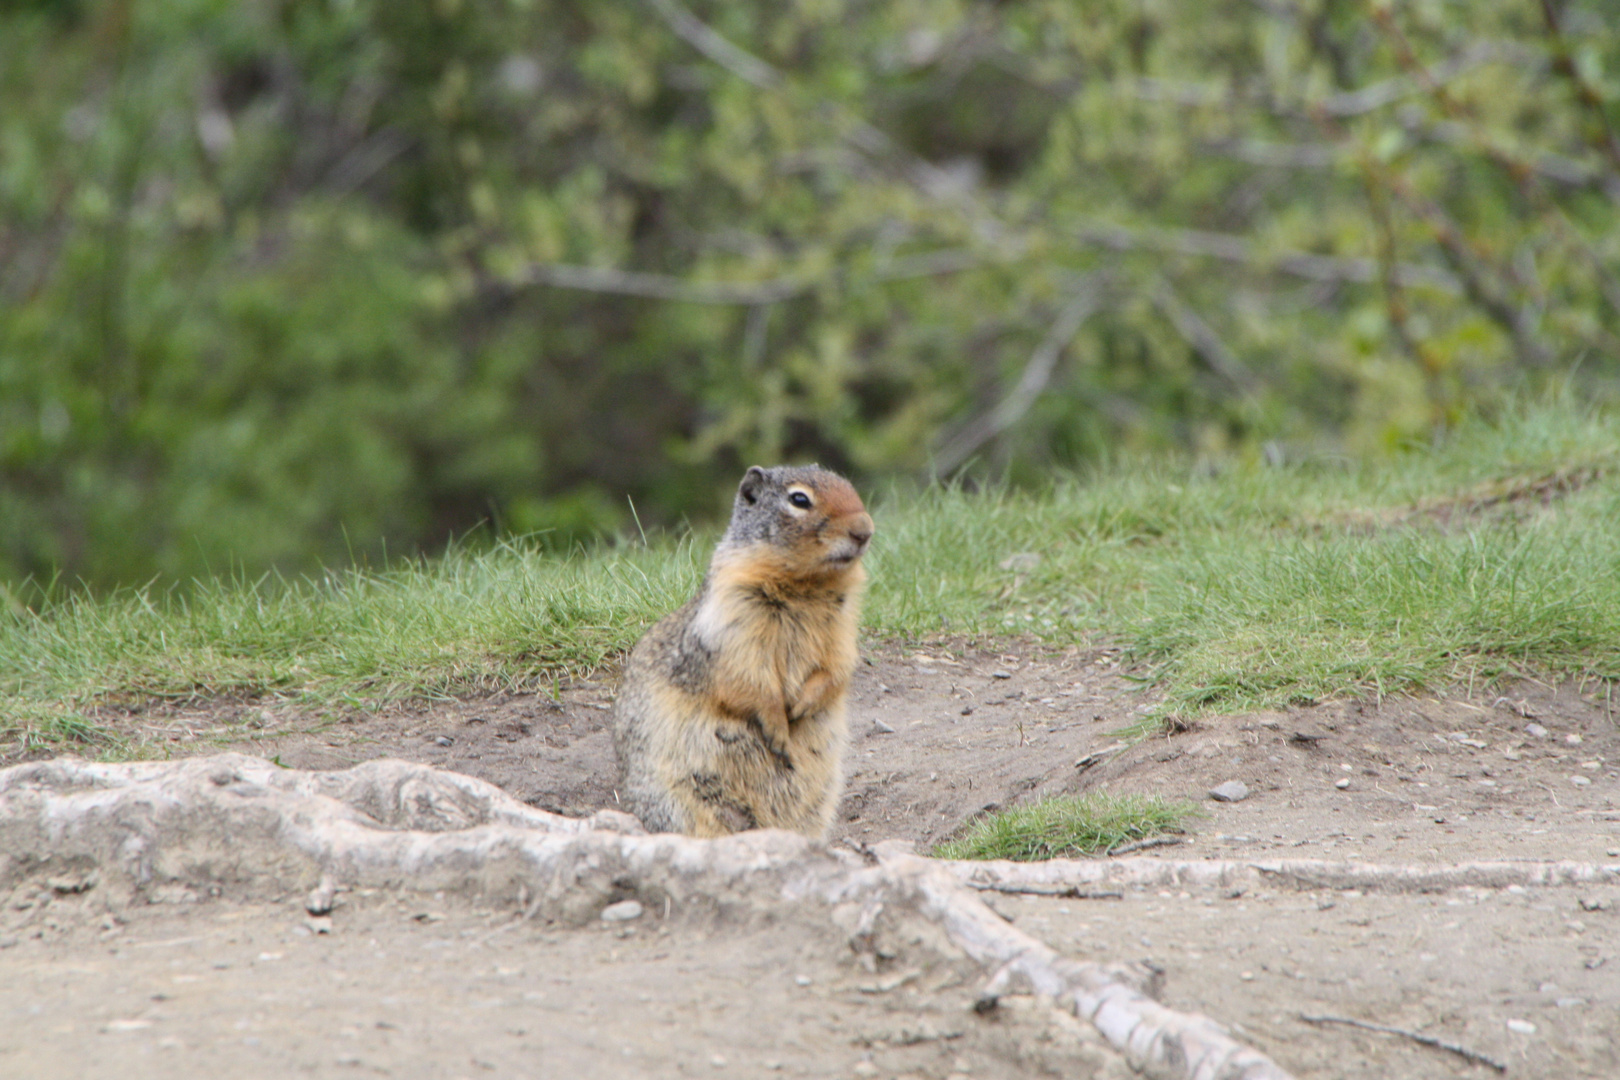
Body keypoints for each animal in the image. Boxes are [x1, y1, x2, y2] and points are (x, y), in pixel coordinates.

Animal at [612, 463, 881, 835]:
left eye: (848, 486)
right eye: (799, 499)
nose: (865, 530)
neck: (808, 585)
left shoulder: (842, 629)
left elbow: (838, 666)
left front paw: (803, 704)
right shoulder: (732, 622)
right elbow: (749, 679)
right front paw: (780, 728)